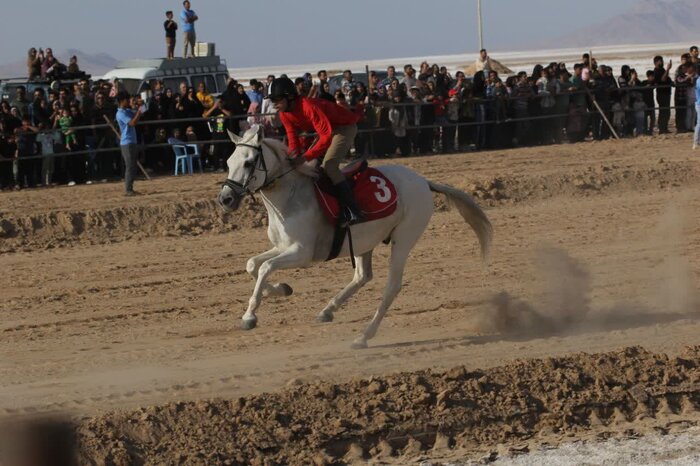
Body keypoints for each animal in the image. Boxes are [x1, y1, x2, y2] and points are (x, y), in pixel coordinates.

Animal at [219, 125, 492, 348]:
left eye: (249, 162)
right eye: (229, 161)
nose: (225, 199)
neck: (290, 198)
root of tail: (423, 181)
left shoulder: (302, 253)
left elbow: (265, 267)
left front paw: (249, 316)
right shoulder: (282, 246)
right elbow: (253, 264)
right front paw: (279, 290)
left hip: (404, 239)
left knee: (391, 286)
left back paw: (363, 336)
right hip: (364, 242)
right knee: (362, 276)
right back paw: (327, 310)